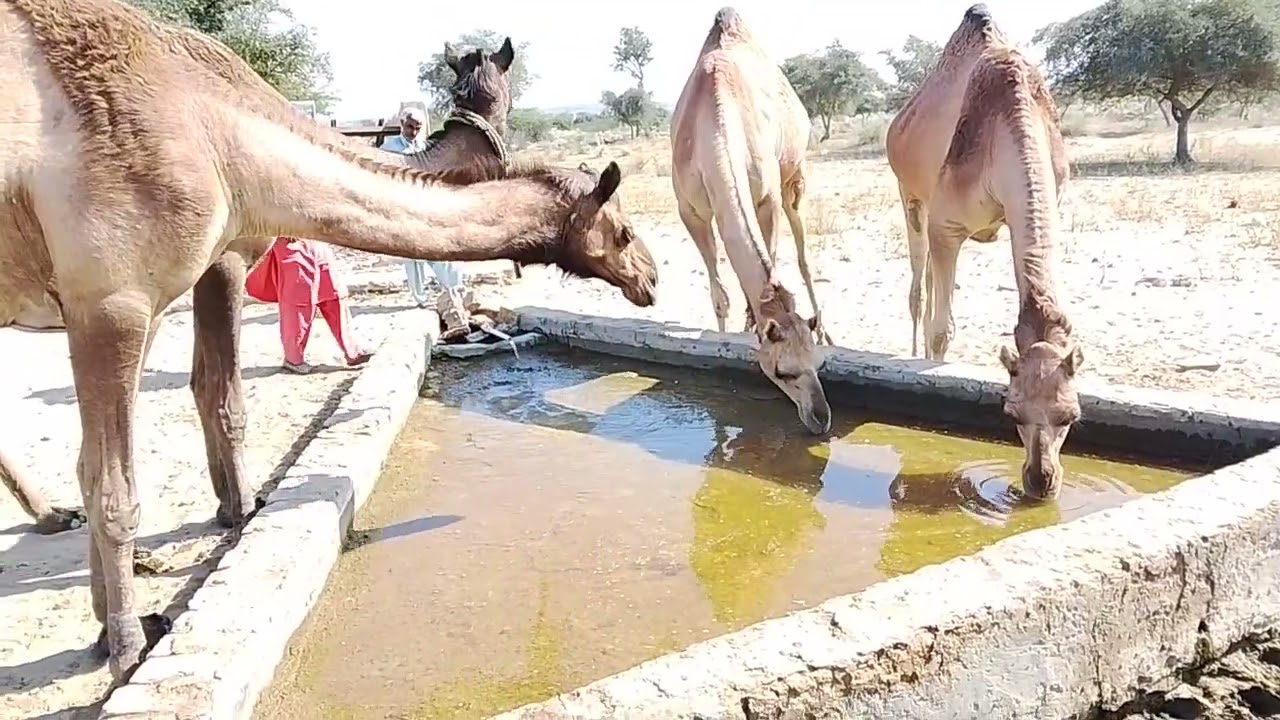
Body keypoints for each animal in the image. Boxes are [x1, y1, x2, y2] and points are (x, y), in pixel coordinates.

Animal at [0, 0, 657, 681]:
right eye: (624, 231)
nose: (652, 278)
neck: (223, 141)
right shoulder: (115, 297)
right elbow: (117, 478)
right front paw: (129, 644)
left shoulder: (160, 286)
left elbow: (159, 425)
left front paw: (111, 624)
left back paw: (54, 519)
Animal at [670, 7, 832, 435]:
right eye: (783, 372)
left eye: (820, 364)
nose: (821, 419)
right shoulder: (690, 210)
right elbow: (720, 296)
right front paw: (723, 340)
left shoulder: (767, 198)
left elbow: (772, 264)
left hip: (795, 180)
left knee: (804, 255)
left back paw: (826, 325)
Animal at [884, 4, 1081, 499]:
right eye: (1011, 412)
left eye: (1072, 415)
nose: (1040, 481)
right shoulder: (947, 224)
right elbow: (942, 332)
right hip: (910, 196)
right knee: (919, 290)